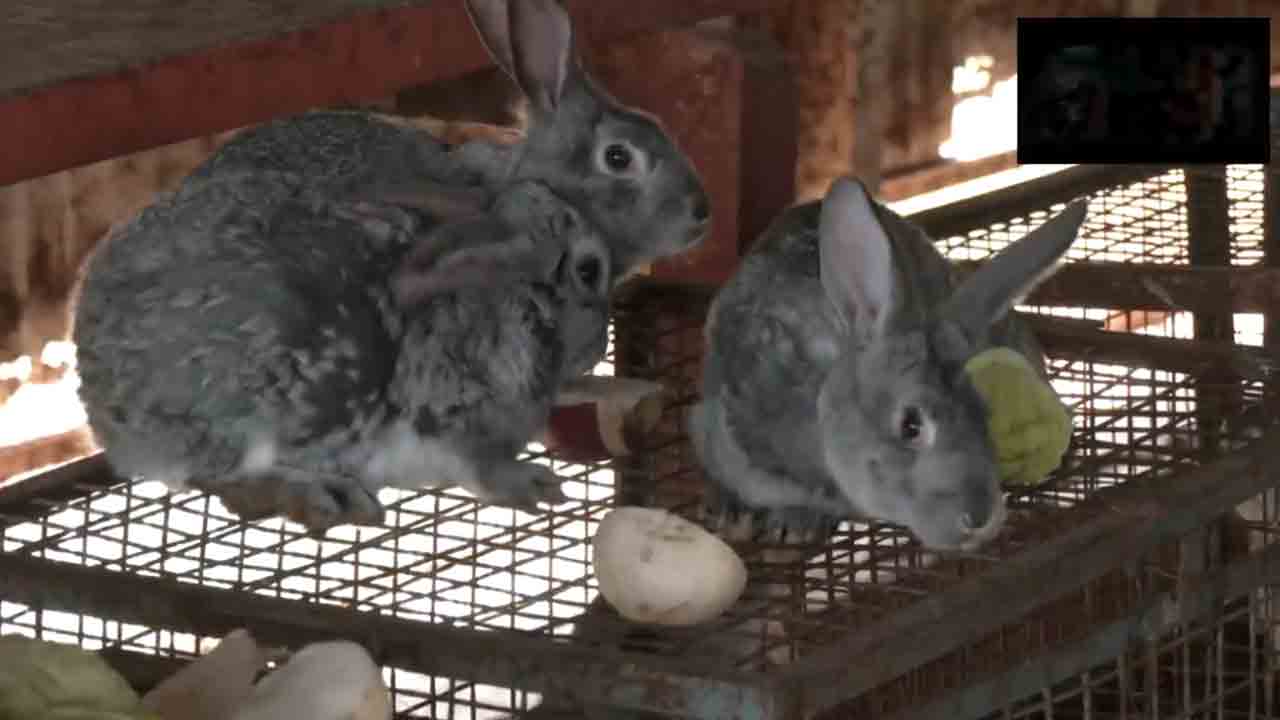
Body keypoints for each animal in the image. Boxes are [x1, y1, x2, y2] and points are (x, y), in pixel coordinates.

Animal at [73, 173, 612, 533]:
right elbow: (481, 466)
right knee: (228, 476)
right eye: (589, 271)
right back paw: (331, 497)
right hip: (259, 401)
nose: (598, 345)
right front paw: (536, 486)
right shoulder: (459, 416)